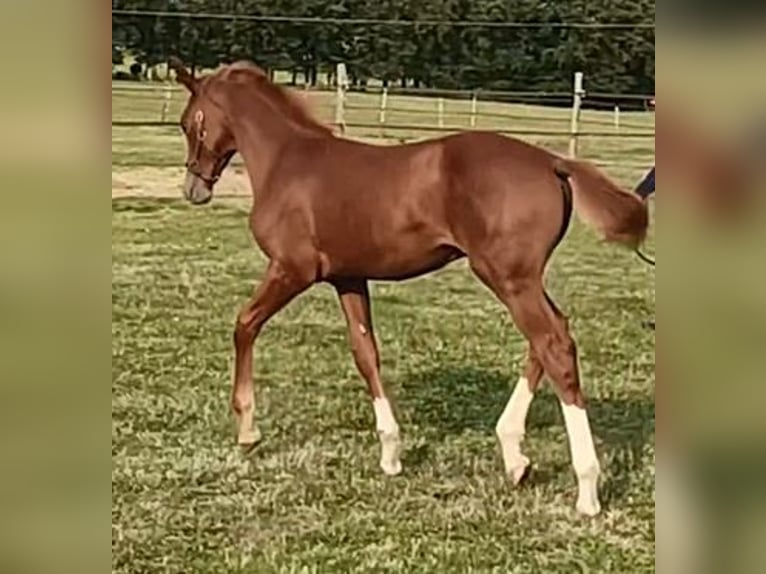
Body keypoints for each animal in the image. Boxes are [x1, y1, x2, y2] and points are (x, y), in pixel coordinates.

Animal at [172, 58, 648, 516]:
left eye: (187, 122)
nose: (193, 188)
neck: (287, 161)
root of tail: (553, 162)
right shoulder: (348, 277)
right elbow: (366, 354)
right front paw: (390, 453)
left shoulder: (292, 269)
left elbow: (245, 324)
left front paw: (247, 428)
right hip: (521, 278)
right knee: (550, 338)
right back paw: (515, 457)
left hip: (509, 278)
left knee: (553, 344)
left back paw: (586, 489)